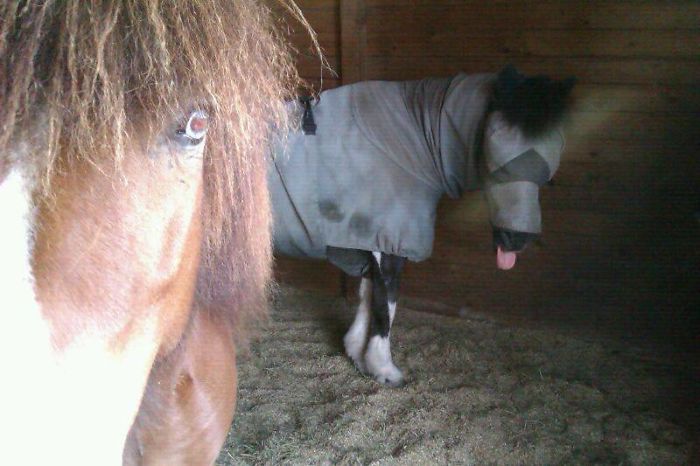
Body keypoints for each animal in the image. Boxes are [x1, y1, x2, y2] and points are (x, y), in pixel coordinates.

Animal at [269, 65, 575, 387]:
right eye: (497, 151)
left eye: (551, 155)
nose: (515, 239)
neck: (405, 144)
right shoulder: (388, 246)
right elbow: (385, 307)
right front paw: (384, 370)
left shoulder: (369, 241)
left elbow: (368, 298)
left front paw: (358, 354)